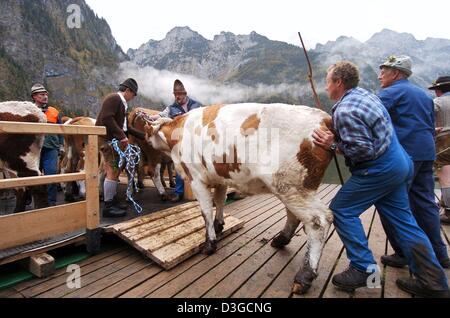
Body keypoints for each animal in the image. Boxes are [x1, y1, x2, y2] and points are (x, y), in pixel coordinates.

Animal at [146, 103, 336, 294]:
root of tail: (324, 118)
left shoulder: (196, 179)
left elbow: (206, 211)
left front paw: (210, 243)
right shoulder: (220, 178)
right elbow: (220, 201)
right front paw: (219, 225)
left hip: (291, 186)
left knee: (319, 220)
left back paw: (305, 275)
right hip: (290, 188)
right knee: (294, 215)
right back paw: (281, 240)